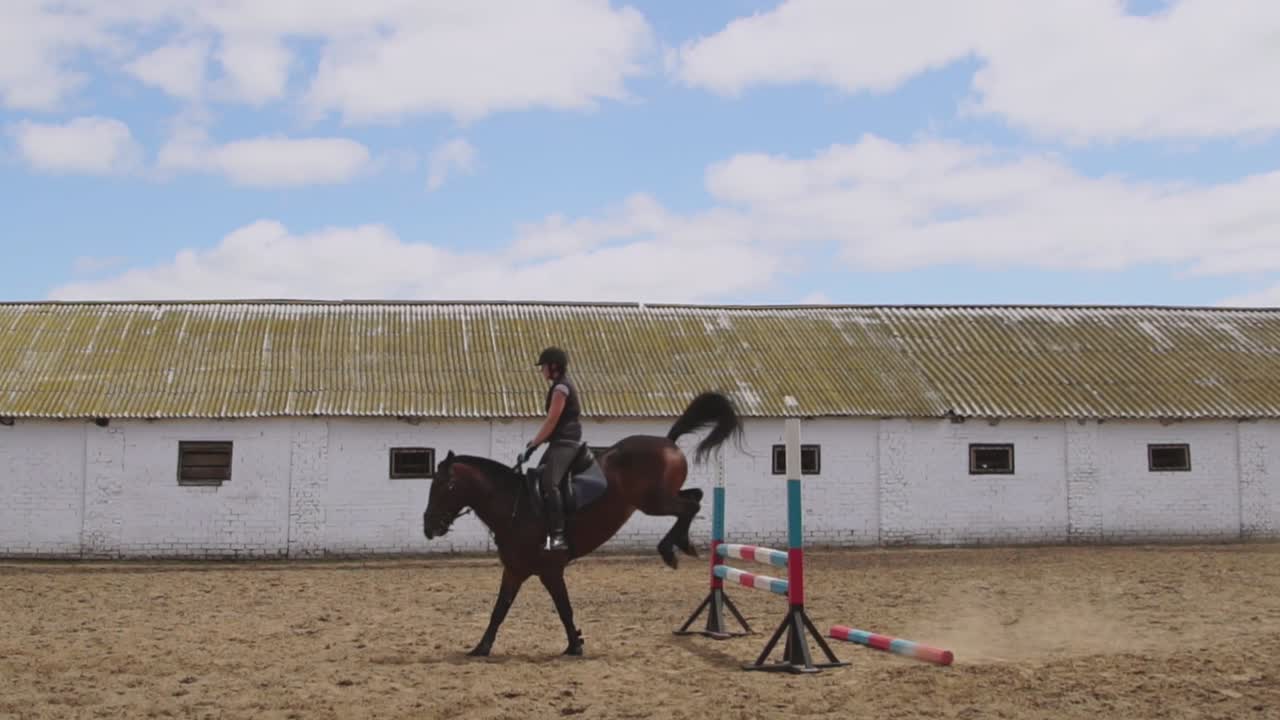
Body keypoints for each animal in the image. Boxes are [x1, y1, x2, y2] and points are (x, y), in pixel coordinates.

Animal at [422, 390, 742, 658]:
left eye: (444, 486)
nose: (429, 527)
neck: (515, 506)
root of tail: (668, 442)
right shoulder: (514, 571)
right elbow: (500, 609)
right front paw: (481, 647)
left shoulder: (550, 571)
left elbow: (564, 608)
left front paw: (575, 644)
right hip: (661, 498)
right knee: (695, 496)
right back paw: (681, 544)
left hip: (654, 503)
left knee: (691, 505)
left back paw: (670, 548)